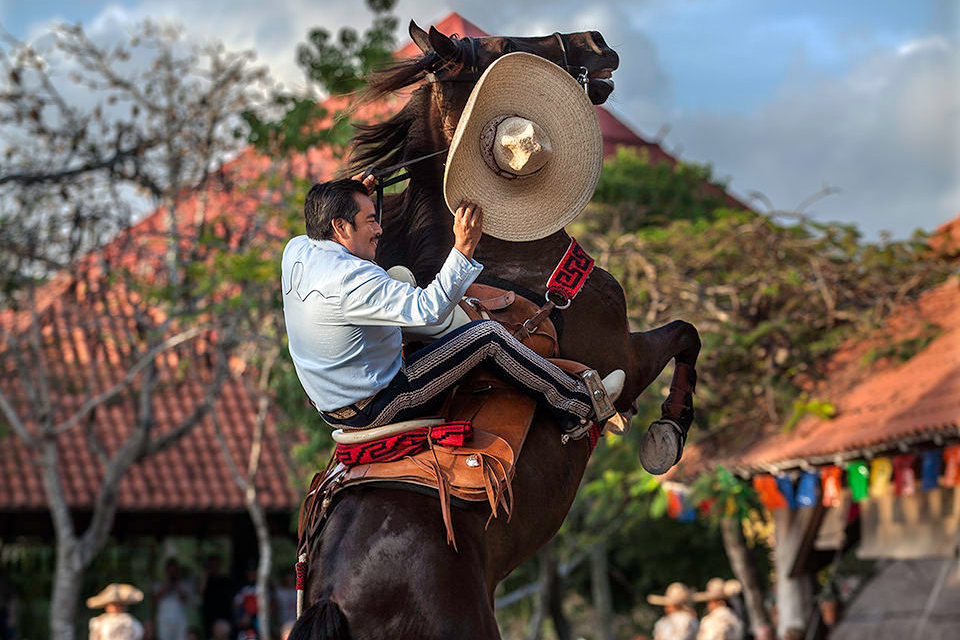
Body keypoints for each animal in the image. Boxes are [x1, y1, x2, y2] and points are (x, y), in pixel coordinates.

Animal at [288, 21, 700, 640]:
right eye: (508, 46)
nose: (597, 41)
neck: (515, 267)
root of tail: (334, 597)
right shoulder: (624, 356)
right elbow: (685, 335)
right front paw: (667, 433)